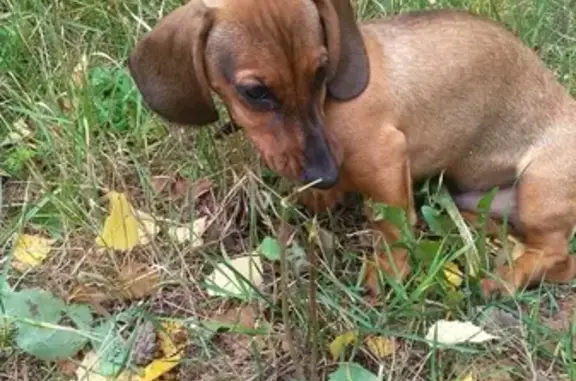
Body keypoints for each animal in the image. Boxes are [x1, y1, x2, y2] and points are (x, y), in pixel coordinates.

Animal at [128, 0, 576, 296]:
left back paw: (504, 279)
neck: (330, 104)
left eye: (321, 70)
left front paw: (388, 271)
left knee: (557, 254)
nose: (323, 174)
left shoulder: (385, 157)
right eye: (255, 92)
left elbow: (391, 225)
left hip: (538, 187)